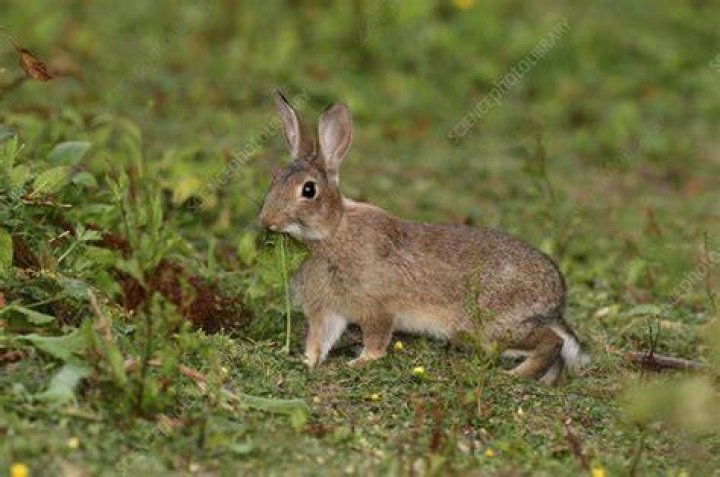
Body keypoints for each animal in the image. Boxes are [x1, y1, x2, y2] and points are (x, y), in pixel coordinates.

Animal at [259, 91, 588, 385]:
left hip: (492, 327)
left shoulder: (377, 307)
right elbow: (318, 340)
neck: (331, 234)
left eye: (309, 190)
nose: (267, 221)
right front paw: (307, 361)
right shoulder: (328, 311)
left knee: (552, 342)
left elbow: (376, 340)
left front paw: (359, 362)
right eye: (274, 179)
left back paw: (517, 375)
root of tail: (556, 296)